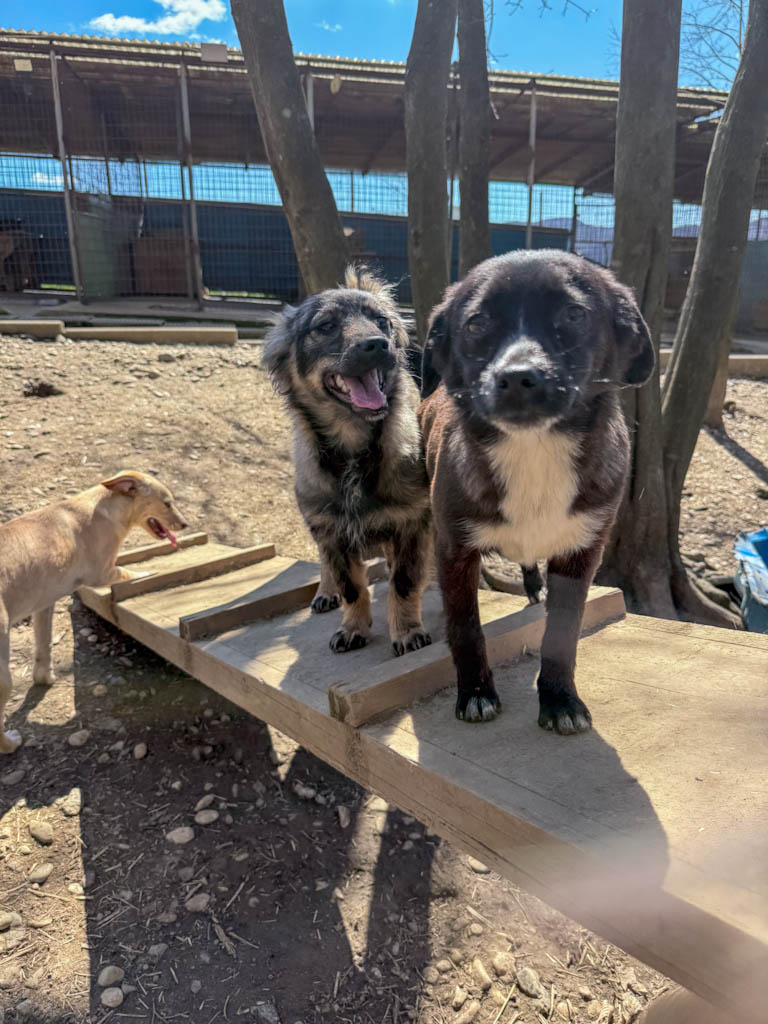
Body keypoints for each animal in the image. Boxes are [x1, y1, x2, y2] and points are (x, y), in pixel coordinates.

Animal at [0, 470, 187, 753]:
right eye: (167, 503)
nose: (186, 524)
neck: (106, 507)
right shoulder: (102, 573)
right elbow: (130, 573)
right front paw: (148, 572)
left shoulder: (44, 605)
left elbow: (43, 647)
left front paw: (45, 678)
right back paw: (10, 743)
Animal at [263, 267, 432, 656]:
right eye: (325, 326)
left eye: (382, 322)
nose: (378, 345)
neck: (355, 448)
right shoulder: (331, 531)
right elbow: (350, 586)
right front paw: (353, 627)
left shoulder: (411, 524)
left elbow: (403, 582)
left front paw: (407, 631)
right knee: (325, 563)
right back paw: (326, 593)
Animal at [419, 250, 654, 730]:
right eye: (476, 323)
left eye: (574, 314)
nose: (517, 376)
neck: (533, 449)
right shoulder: (454, 550)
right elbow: (465, 627)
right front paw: (475, 693)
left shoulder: (581, 554)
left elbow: (561, 634)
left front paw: (560, 699)